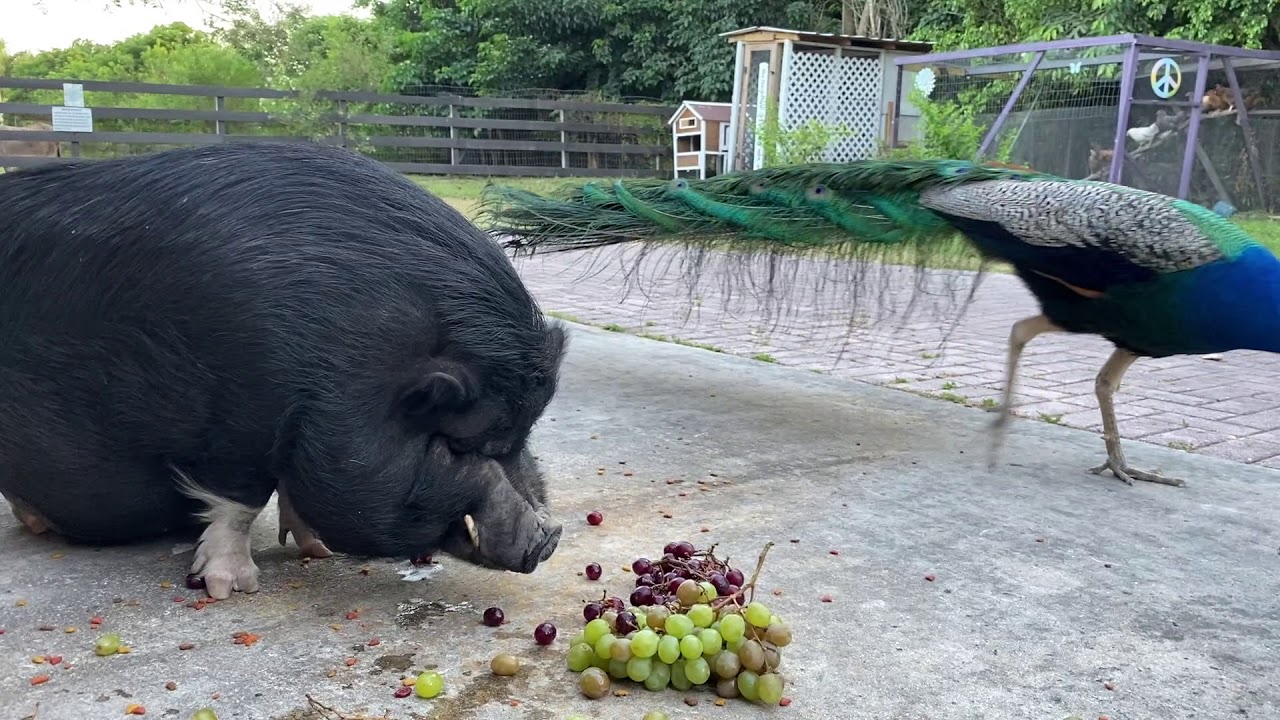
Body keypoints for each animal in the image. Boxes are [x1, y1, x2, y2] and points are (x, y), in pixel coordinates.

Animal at [0, 141, 568, 599]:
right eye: (458, 444)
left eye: (518, 437)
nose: (551, 538)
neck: (345, 368)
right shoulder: (233, 423)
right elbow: (239, 502)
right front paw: (232, 589)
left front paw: (318, 553)